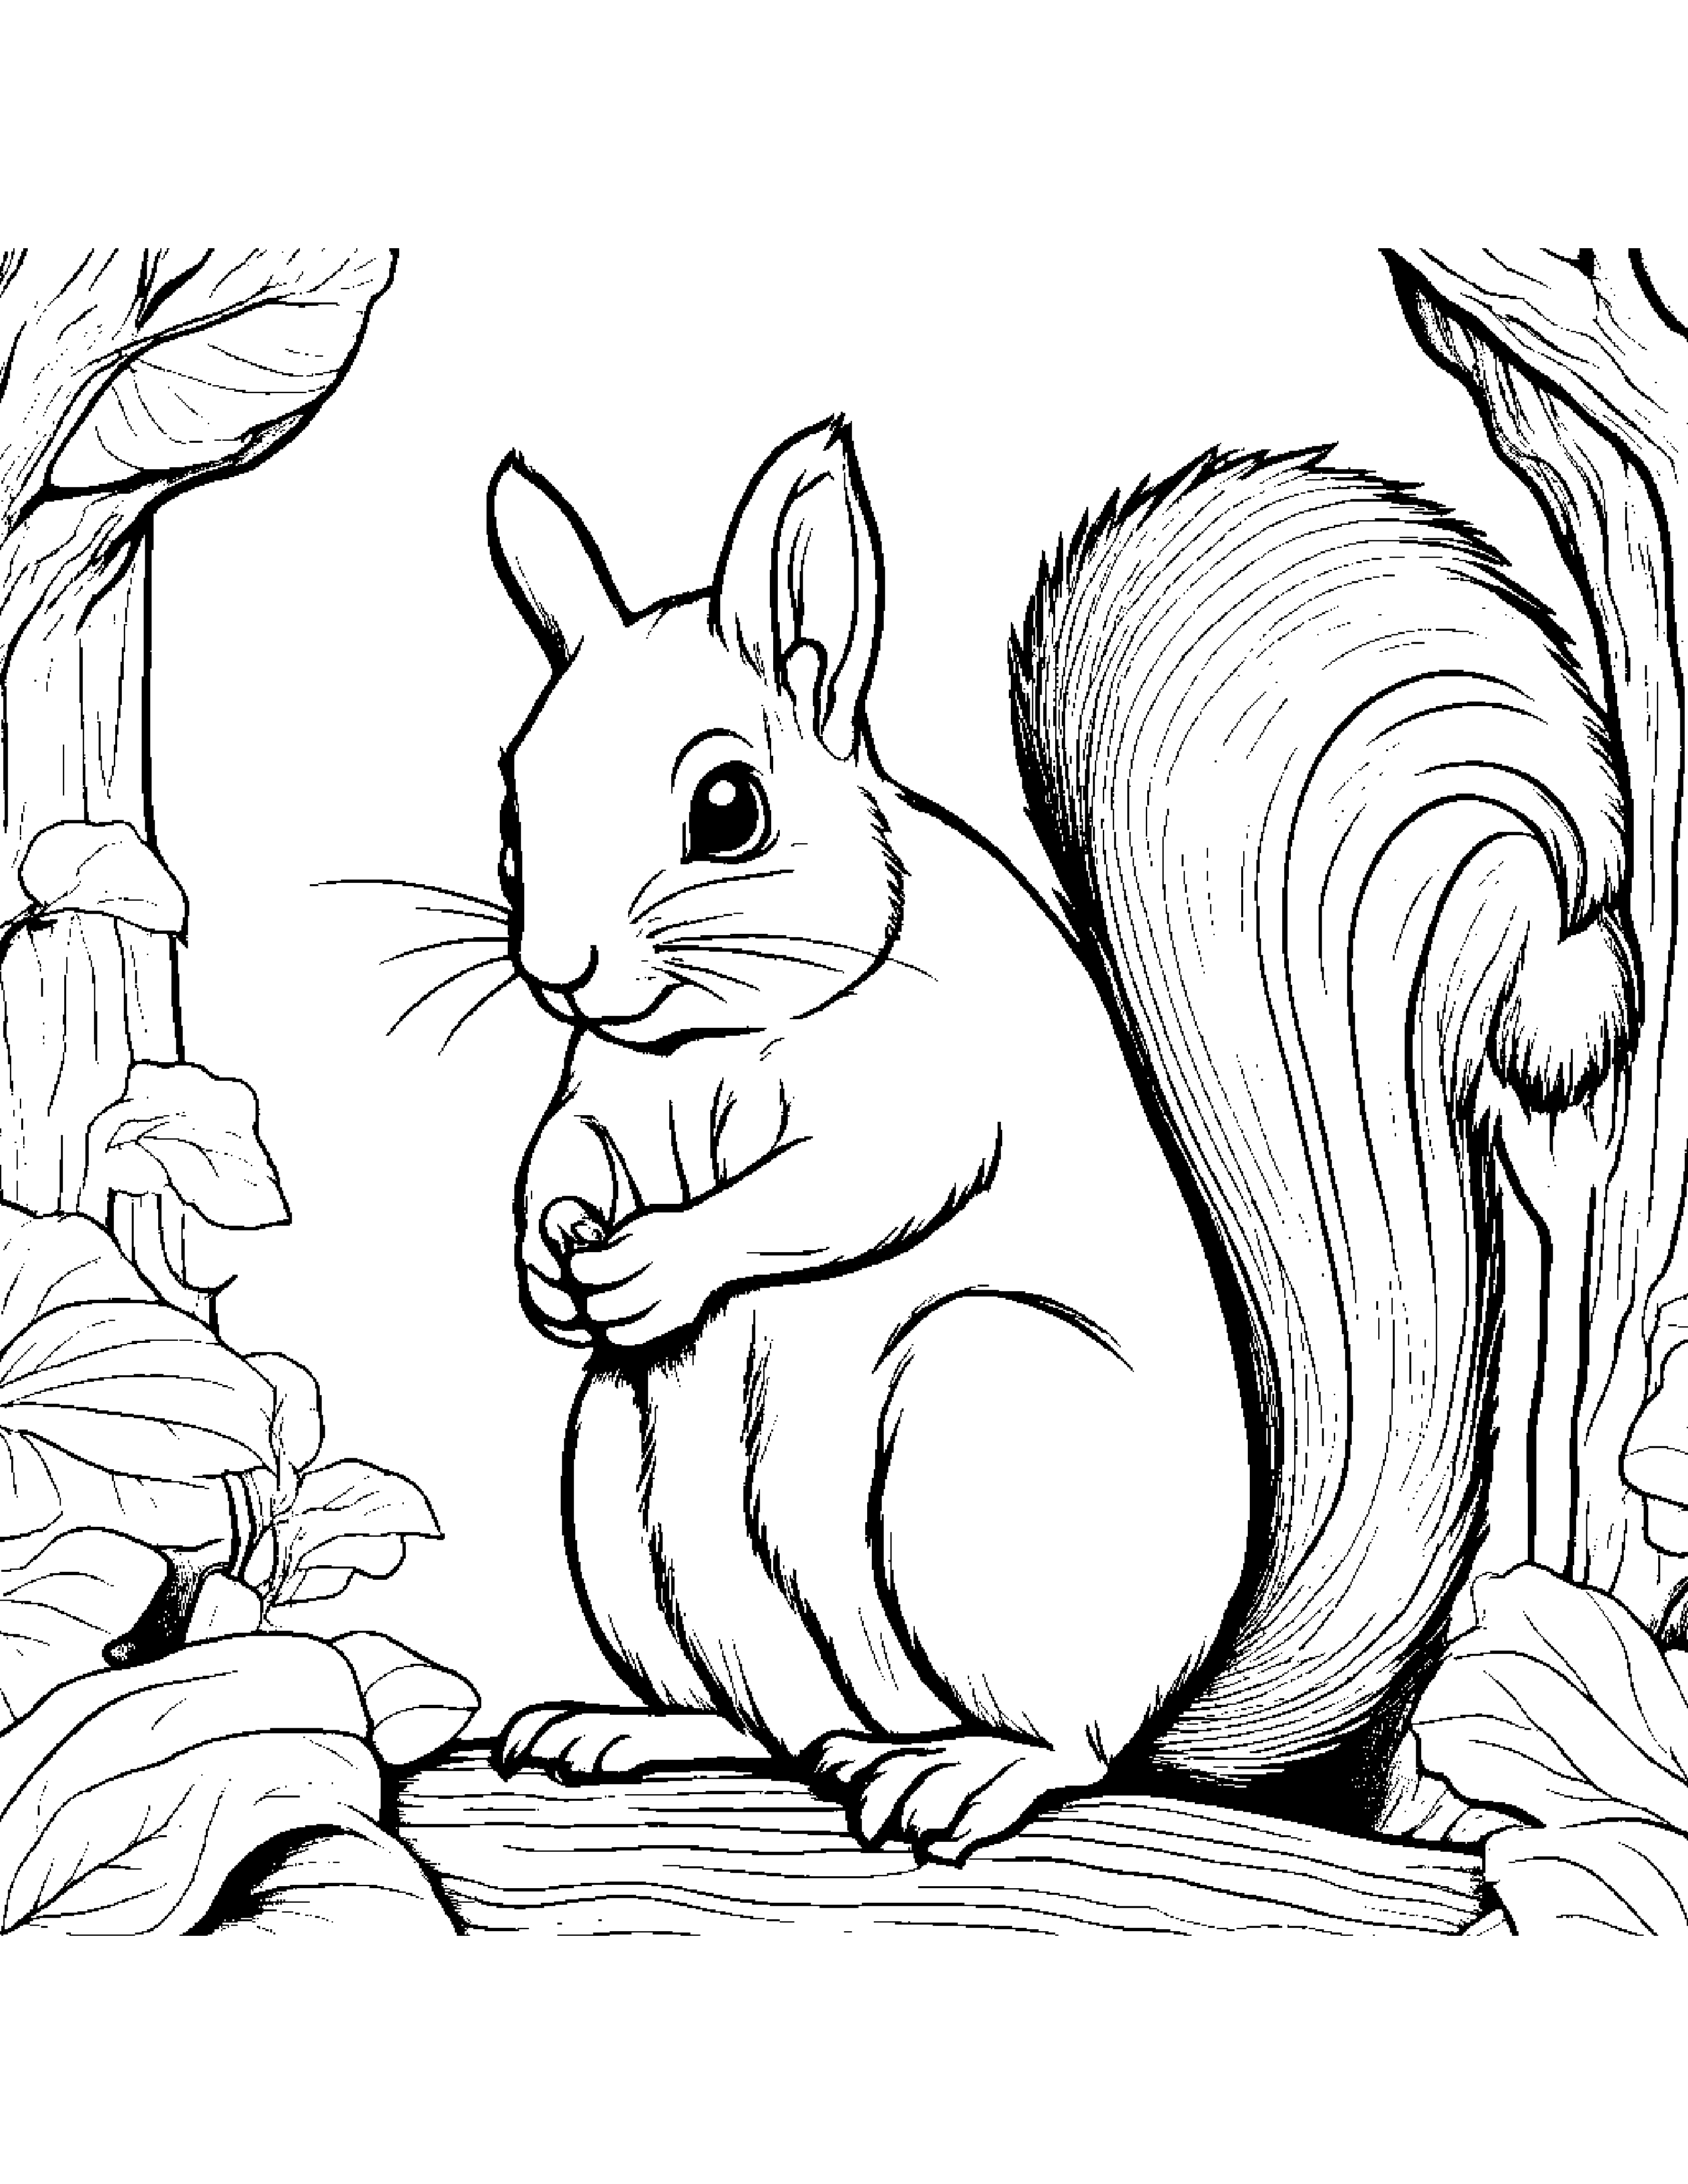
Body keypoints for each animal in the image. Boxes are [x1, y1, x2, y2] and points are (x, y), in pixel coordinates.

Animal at [484, 419, 1637, 1857]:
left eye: (730, 809)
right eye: (513, 812)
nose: (560, 969)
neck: (710, 1044)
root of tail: (1175, 1701)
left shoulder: (933, 1066)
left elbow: (859, 1181)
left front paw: (663, 1260)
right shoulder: (601, 1089)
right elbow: (562, 1153)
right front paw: (547, 1261)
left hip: (982, 1418)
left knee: (1071, 1746)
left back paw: (973, 1768)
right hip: (624, 1487)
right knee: (770, 1727)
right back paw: (639, 1727)